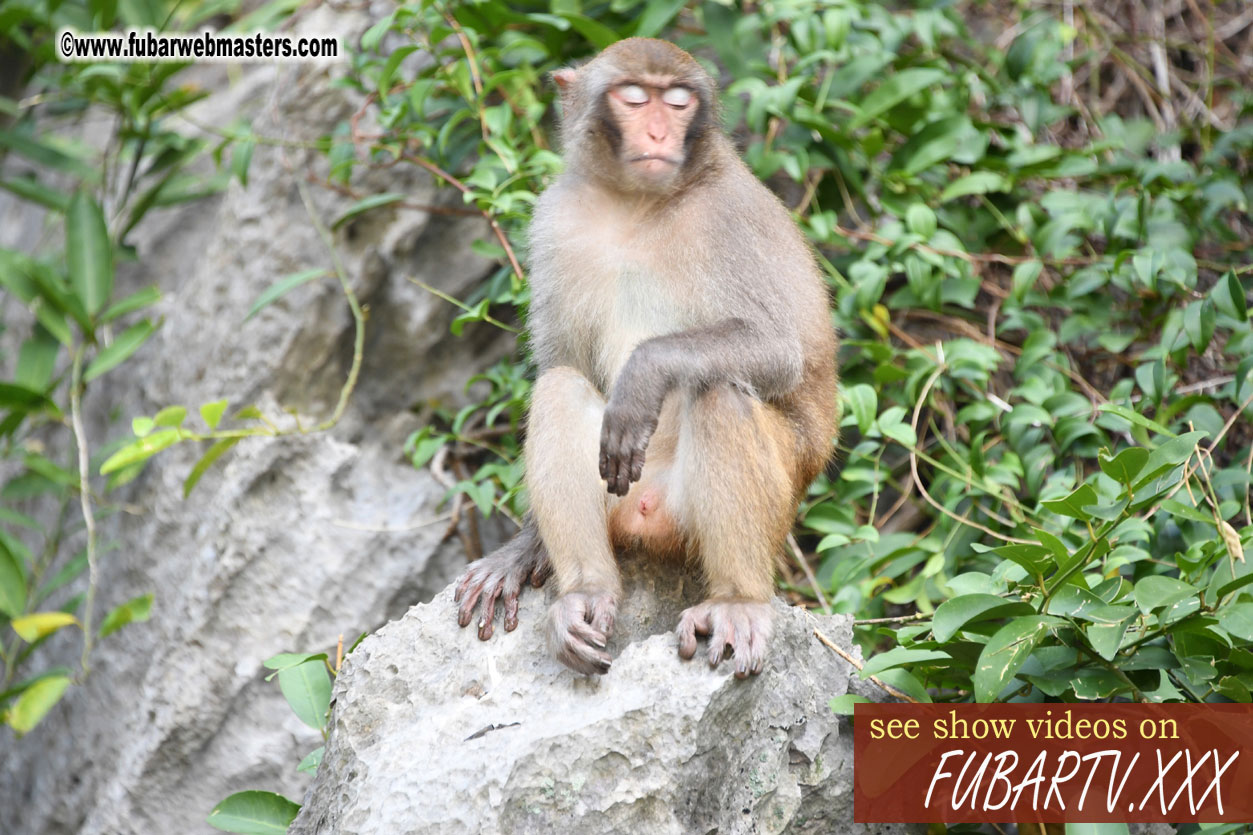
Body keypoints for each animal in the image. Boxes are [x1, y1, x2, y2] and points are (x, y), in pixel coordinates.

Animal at [456, 37, 837, 677]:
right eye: (634, 97)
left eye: (678, 102)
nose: (660, 132)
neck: (633, 207)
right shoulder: (555, 220)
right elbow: (564, 361)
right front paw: (524, 548)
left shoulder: (731, 216)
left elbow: (778, 348)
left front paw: (643, 376)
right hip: (616, 499)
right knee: (561, 385)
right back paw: (585, 591)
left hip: (745, 509)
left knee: (719, 389)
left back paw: (737, 602)